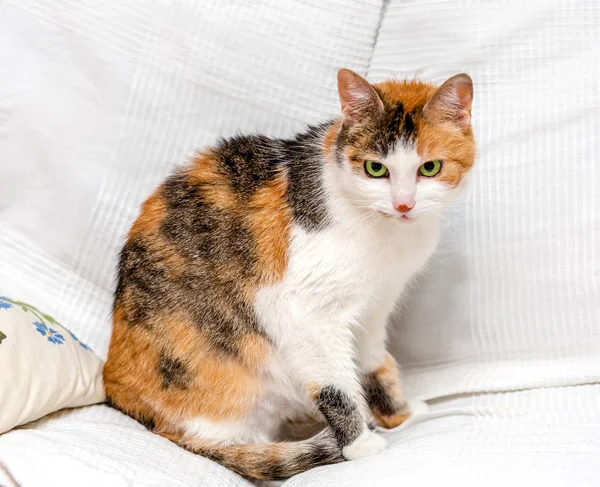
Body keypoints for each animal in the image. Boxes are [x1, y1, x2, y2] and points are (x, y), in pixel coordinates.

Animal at [105, 67, 476, 480]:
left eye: (430, 168)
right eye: (376, 169)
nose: (404, 204)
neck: (391, 236)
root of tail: (119, 393)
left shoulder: (375, 306)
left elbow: (376, 364)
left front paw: (401, 415)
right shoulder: (301, 310)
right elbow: (336, 386)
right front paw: (360, 443)